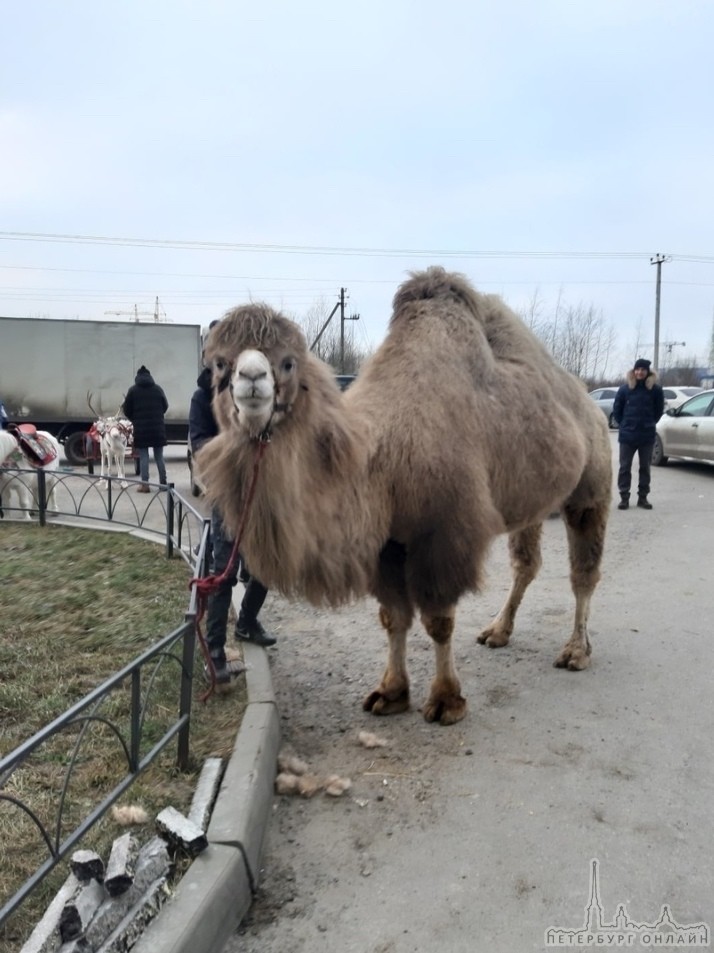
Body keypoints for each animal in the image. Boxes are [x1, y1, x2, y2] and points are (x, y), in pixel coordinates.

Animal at [197, 264, 608, 724]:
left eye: (288, 362)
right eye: (219, 363)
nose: (251, 379)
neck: (381, 460)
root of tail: (588, 403)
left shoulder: (443, 534)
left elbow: (438, 620)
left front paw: (446, 700)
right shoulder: (386, 543)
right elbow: (393, 617)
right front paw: (391, 692)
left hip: (591, 486)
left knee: (583, 571)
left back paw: (576, 651)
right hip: (533, 501)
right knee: (526, 563)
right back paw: (498, 631)